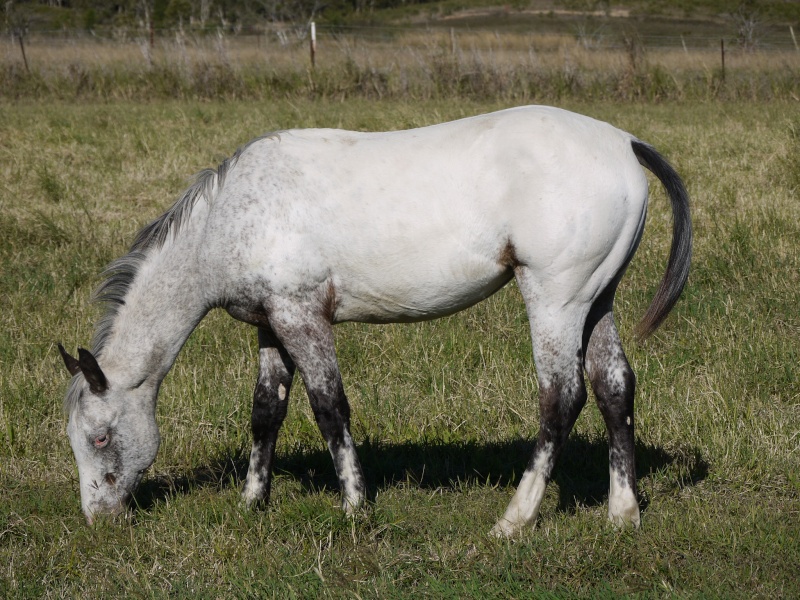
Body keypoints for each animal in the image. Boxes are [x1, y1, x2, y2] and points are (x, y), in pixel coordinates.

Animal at [59, 106, 692, 536]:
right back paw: (622, 513)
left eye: (99, 437)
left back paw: (513, 519)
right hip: (596, 300)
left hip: (556, 301)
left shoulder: (303, 317)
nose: (99, 519)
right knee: (614, 387)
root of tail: (623, 143)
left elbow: (328, 408)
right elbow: (266, 412)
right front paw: (252, 501)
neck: (232, 216)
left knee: (561, 398)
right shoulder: (271, 324)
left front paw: (355, 504)